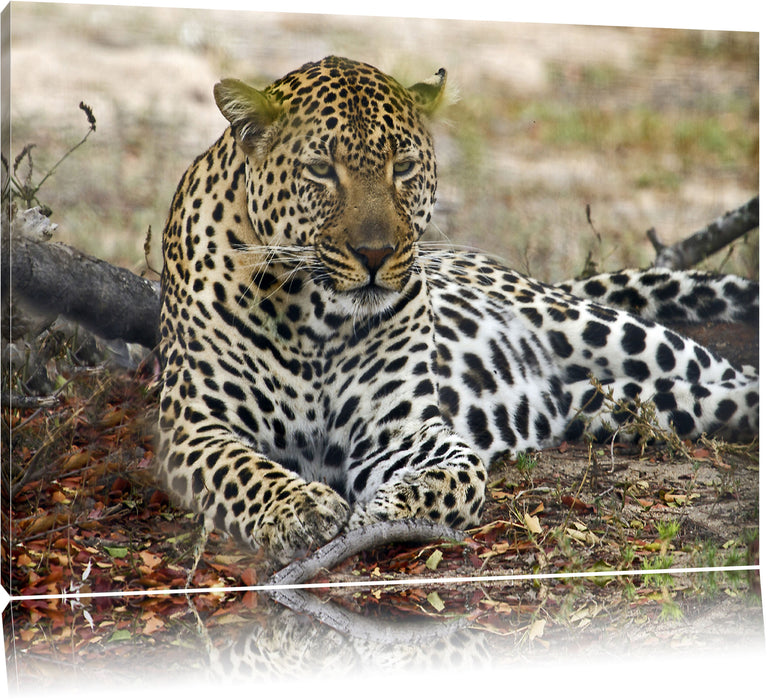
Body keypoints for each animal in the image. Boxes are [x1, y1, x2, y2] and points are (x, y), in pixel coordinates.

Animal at [157, 56, 759, 566]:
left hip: (611, 331)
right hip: (622, 405)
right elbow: (242, 469)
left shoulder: (400, 430)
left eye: (403, 167)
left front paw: (386, 510)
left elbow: (460, 474)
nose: (375, 254)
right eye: (321, 170)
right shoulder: (192, 428)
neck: (315, 319)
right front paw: (302, 509)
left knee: (731, 371)